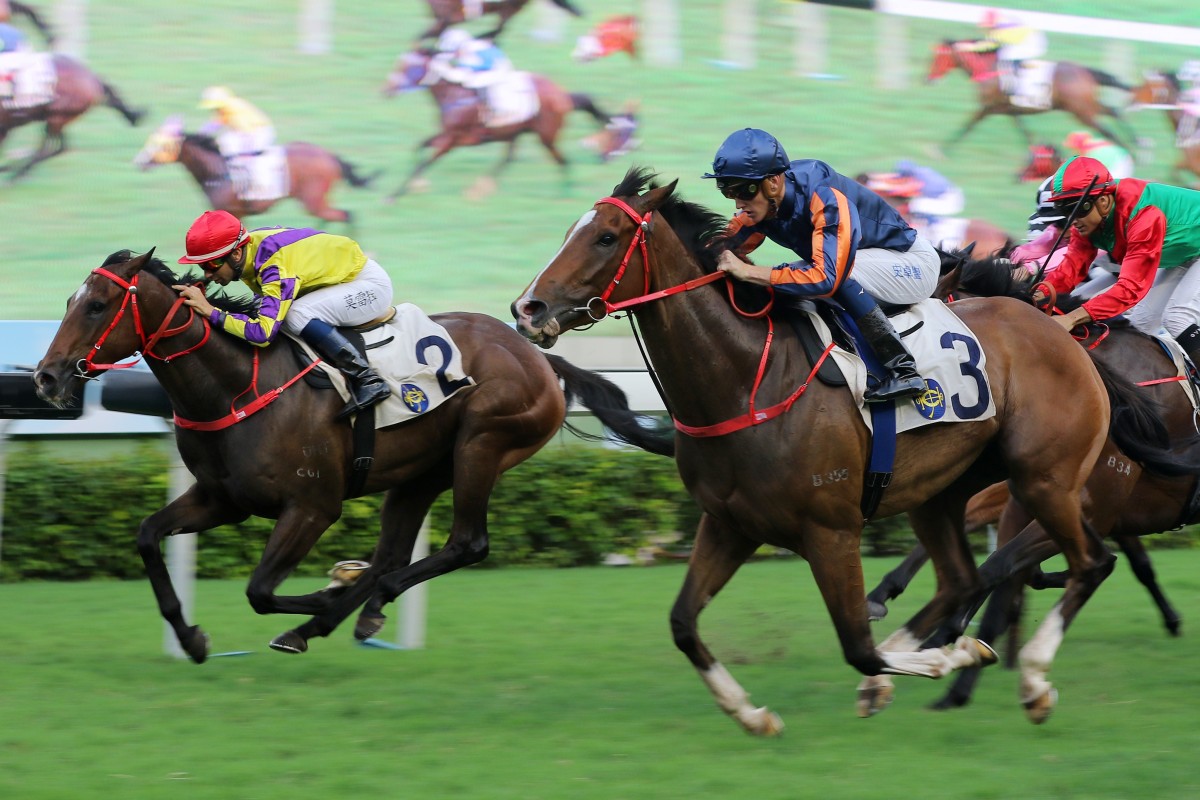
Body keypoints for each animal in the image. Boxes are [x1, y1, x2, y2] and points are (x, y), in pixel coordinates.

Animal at [508, 169, 1180, 738]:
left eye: (605, 237)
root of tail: (1063, 334)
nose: (527, 308)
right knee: (965, 579)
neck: (745, 378)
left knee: (1092, 562)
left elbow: (858, 646)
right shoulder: (729, 524)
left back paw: (1034, 680)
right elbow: (682, 623)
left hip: (1046, 478)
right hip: (944, 494)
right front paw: (752, 714)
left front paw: (945, 659)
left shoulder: (830, 529)